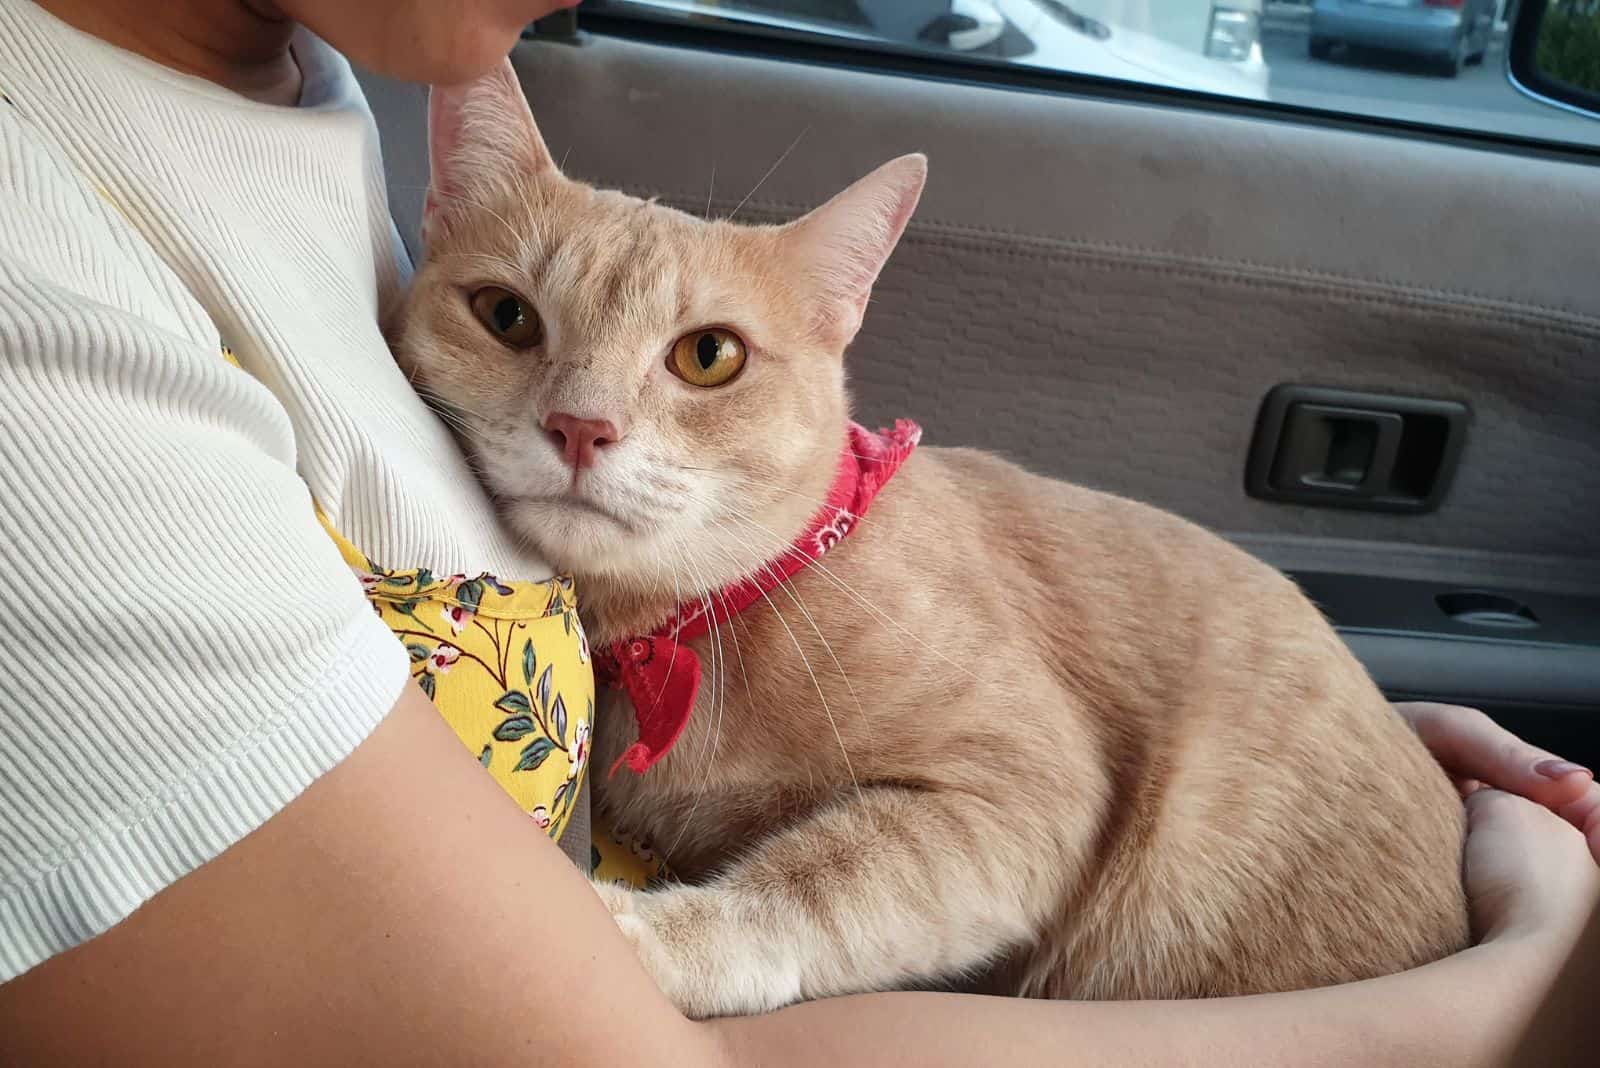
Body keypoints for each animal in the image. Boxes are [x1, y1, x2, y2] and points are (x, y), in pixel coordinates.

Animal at [393, 64, 1465, 1016]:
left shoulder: (1025, 789)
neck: (722, 615)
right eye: (506, 315)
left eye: (708, 357)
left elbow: (823, 881)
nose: (581, 426)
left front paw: (658, 939)